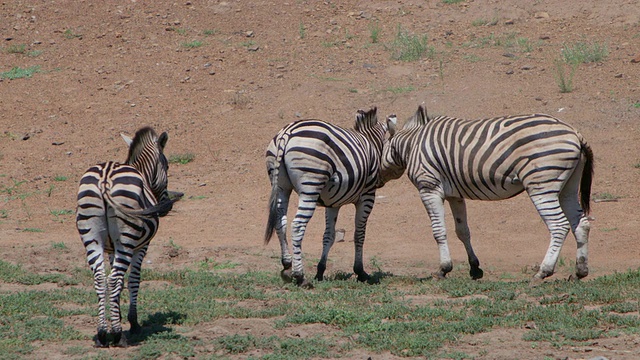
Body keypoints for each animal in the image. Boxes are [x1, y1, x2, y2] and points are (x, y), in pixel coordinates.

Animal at [77, 128, 178, 348]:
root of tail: (105, 177)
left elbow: (119, 281)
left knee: (100, 278)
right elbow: (133, 279)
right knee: (114, 279)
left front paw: (118, 317)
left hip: (92, 237)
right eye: (167, 165)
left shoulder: (111, 249)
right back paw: (116, 335)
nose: (166, 208)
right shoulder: (141, 246)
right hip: (127, 238)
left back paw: (101, 334)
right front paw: (132, 323)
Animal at [262, 107, 388, 286]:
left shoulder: (333, 203)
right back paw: (300, 276)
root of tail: (288, 132)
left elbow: (329, 235)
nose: (382, 182)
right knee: (297, 225)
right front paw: (360, 272)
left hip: (280, 186)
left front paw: (320, 271)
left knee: (281, 223)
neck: (370, 143)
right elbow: (359, 234)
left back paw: (287, 266)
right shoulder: (367, 196)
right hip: (311, 184)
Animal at [380, 105, 596, 282]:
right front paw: (474, 268)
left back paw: (543, 272)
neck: (412, 145)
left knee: (559, 225)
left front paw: (443, 269)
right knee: (581, 224)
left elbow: (438, 231)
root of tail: (574, 132)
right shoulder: (454, 195)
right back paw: (580, 271)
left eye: (379, 148)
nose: (378, 180)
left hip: (541, 183)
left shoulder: (429, 188)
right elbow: (462, 231)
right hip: (568, 186)